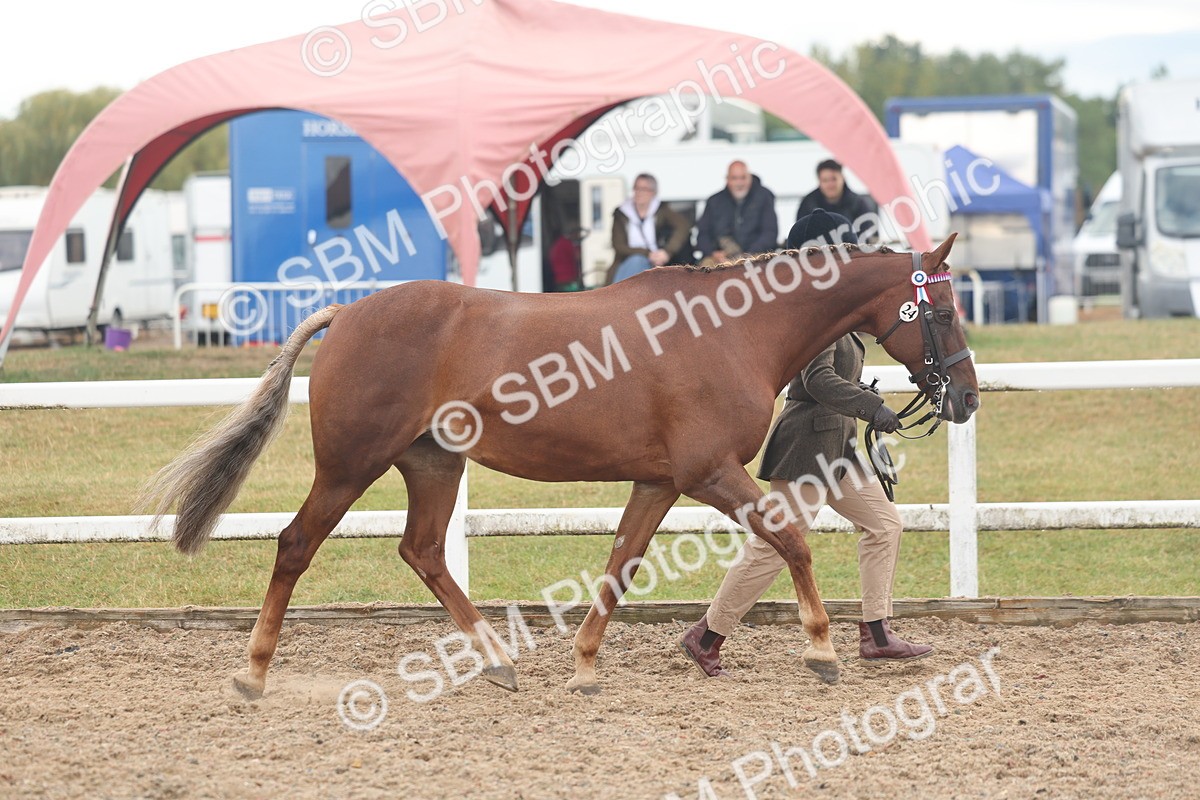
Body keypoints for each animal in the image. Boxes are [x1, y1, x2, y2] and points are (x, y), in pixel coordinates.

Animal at [141, 235, 978, 699]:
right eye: (942, 312)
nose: (966, 396)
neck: (731, 331)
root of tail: (347, 312)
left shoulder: (659, 481)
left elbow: (620, 564)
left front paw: (583, 666)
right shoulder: (709, 473)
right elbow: (793, 543)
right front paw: (824, 652)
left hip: (433, 465)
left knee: (423, 551)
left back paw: (498, 664)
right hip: (351, 465)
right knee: (295, 545)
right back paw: (252, 673)